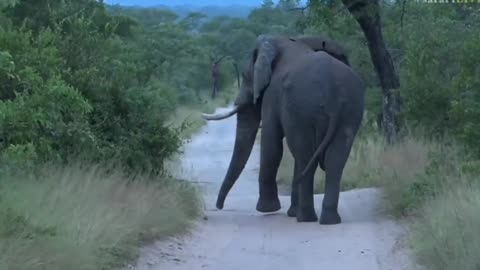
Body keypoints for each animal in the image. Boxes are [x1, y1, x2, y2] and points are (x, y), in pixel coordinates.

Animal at [202, 33, 364, 224]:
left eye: (246, 76)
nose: (219, 207)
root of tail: (335, 93)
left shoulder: (272, 95)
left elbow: (271, 145)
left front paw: (267, 209)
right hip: (350, 109)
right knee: (334, 159)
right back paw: (328, 220)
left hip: (302, 108)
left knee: (304, 155)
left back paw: (305, 217)